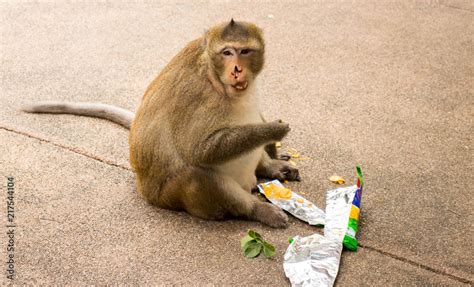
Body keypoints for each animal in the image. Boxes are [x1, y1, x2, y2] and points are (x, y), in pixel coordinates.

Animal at [22, 19, 300, 228]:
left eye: (244, 51)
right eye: (227, 52)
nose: (236, 70)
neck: (216, 77)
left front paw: (272, 150)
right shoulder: (197, 95)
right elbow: (199, 150)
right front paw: (273, 130)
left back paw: (270, 167)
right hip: (174, 198)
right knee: (195, 173)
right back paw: (255, 210)